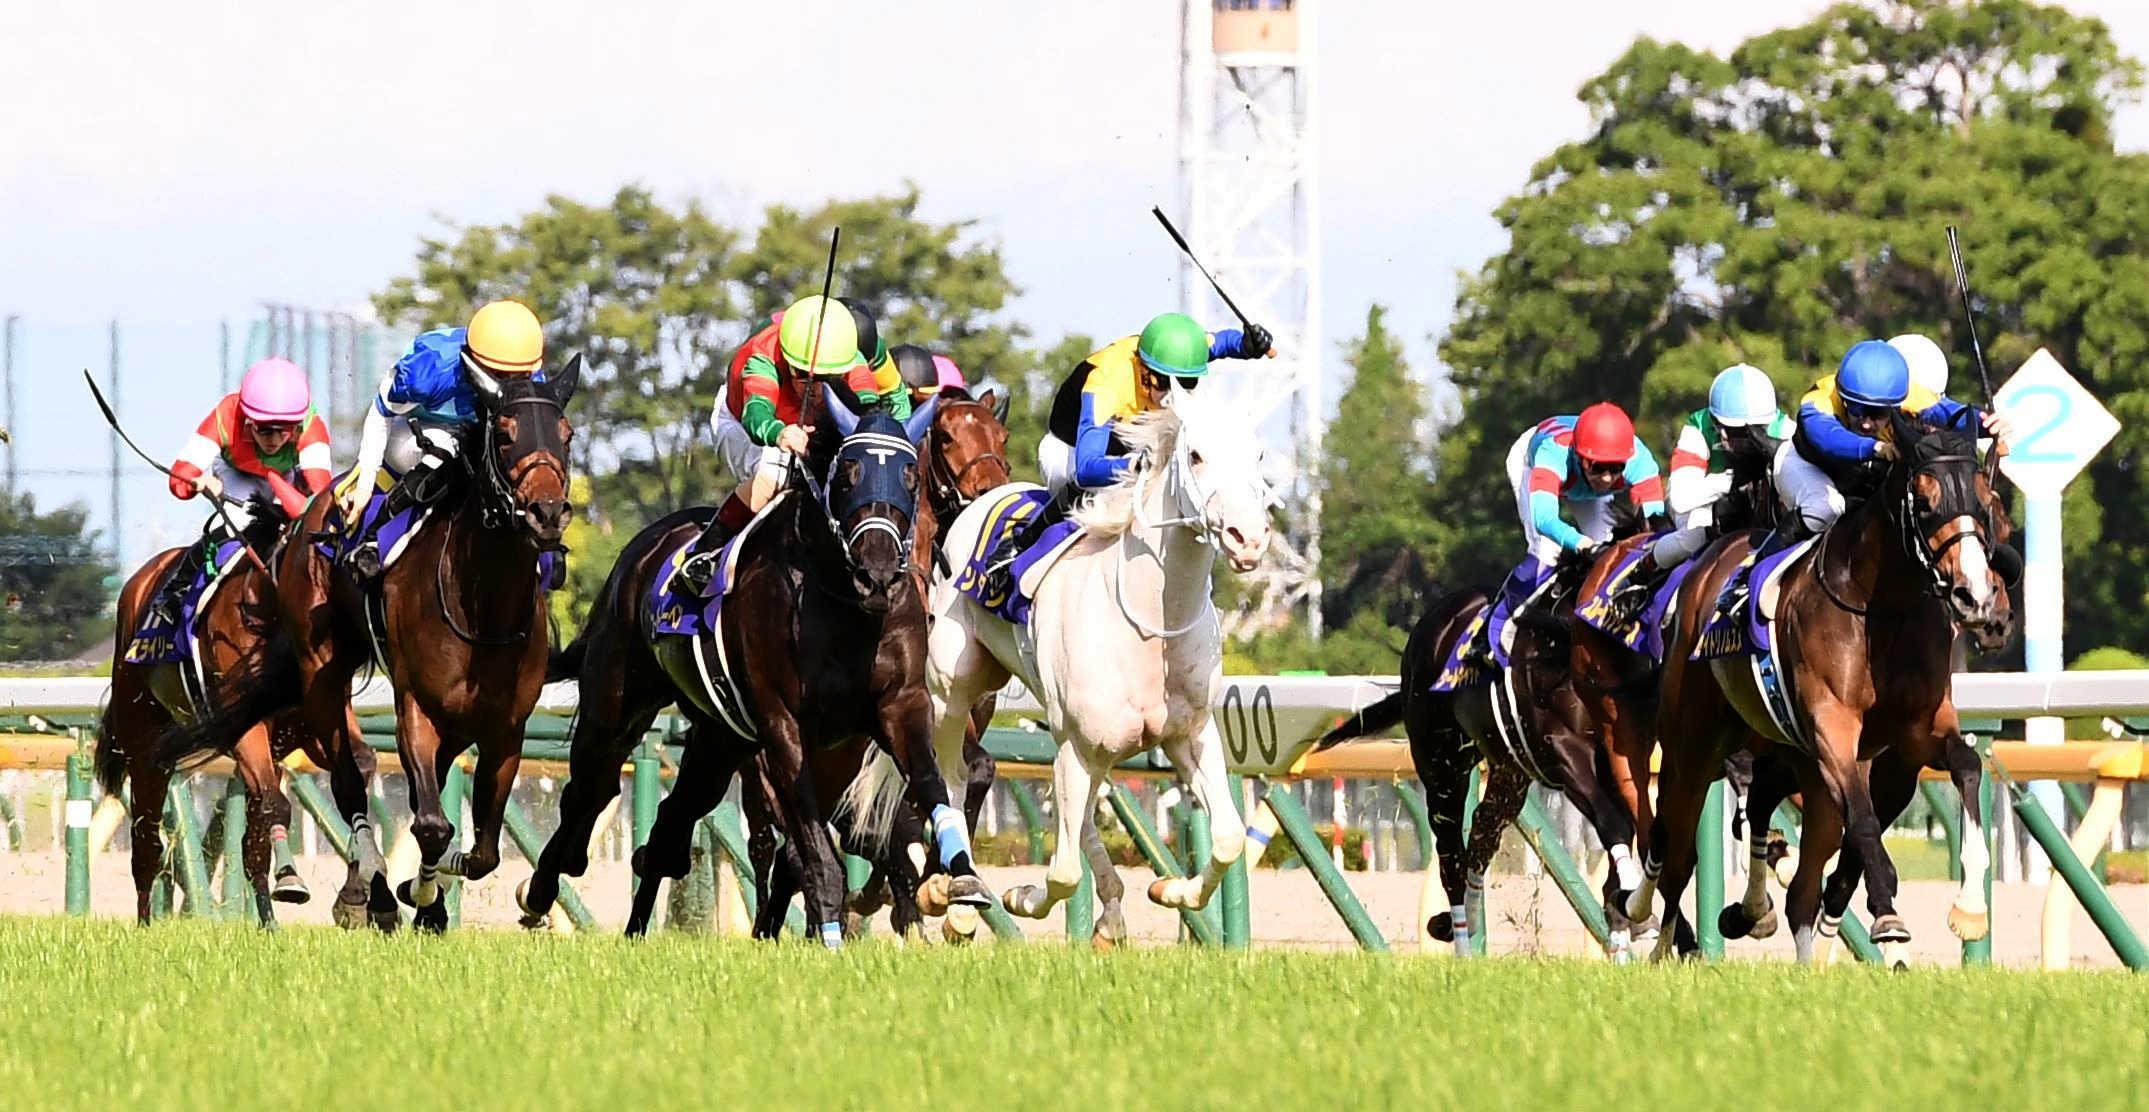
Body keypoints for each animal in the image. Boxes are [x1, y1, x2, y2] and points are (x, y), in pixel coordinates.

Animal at [160, 357, 580, 929]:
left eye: (567, 434)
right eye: (506, 434)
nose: (546, 513)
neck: (482, 605)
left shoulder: (505, 729)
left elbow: (482, 851)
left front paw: (434, 896)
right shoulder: (415, 707)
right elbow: (431, 824)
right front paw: (416, 892)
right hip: (321, 674)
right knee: (348, 780)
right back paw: (368, 893)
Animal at [851, 393, 1263, 942]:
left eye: (1259, 456)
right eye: (1195, 455)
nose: (1249, 538)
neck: (1151, 622)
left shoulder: (1187, 734)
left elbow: (1227, 838)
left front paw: (1171, 890)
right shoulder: (1077, 743)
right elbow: (1063, 871)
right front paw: (1018, 898)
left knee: (1080, 814)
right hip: (951, 691)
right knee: (952, 774)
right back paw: (947, 894)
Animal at [1641, 417, 2011, 963]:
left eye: (1985, 502)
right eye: (1924, 502)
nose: (1976, 598)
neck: (1882, 609)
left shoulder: (1915, 732)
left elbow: (1966, 765)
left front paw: (1968, 907)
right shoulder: (1834, 731)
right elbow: (1863, 821)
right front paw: (1890, 923)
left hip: (1787, 755)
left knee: (1782, 859)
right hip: (1693, 742)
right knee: (1674, 842)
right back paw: (1653, 933)